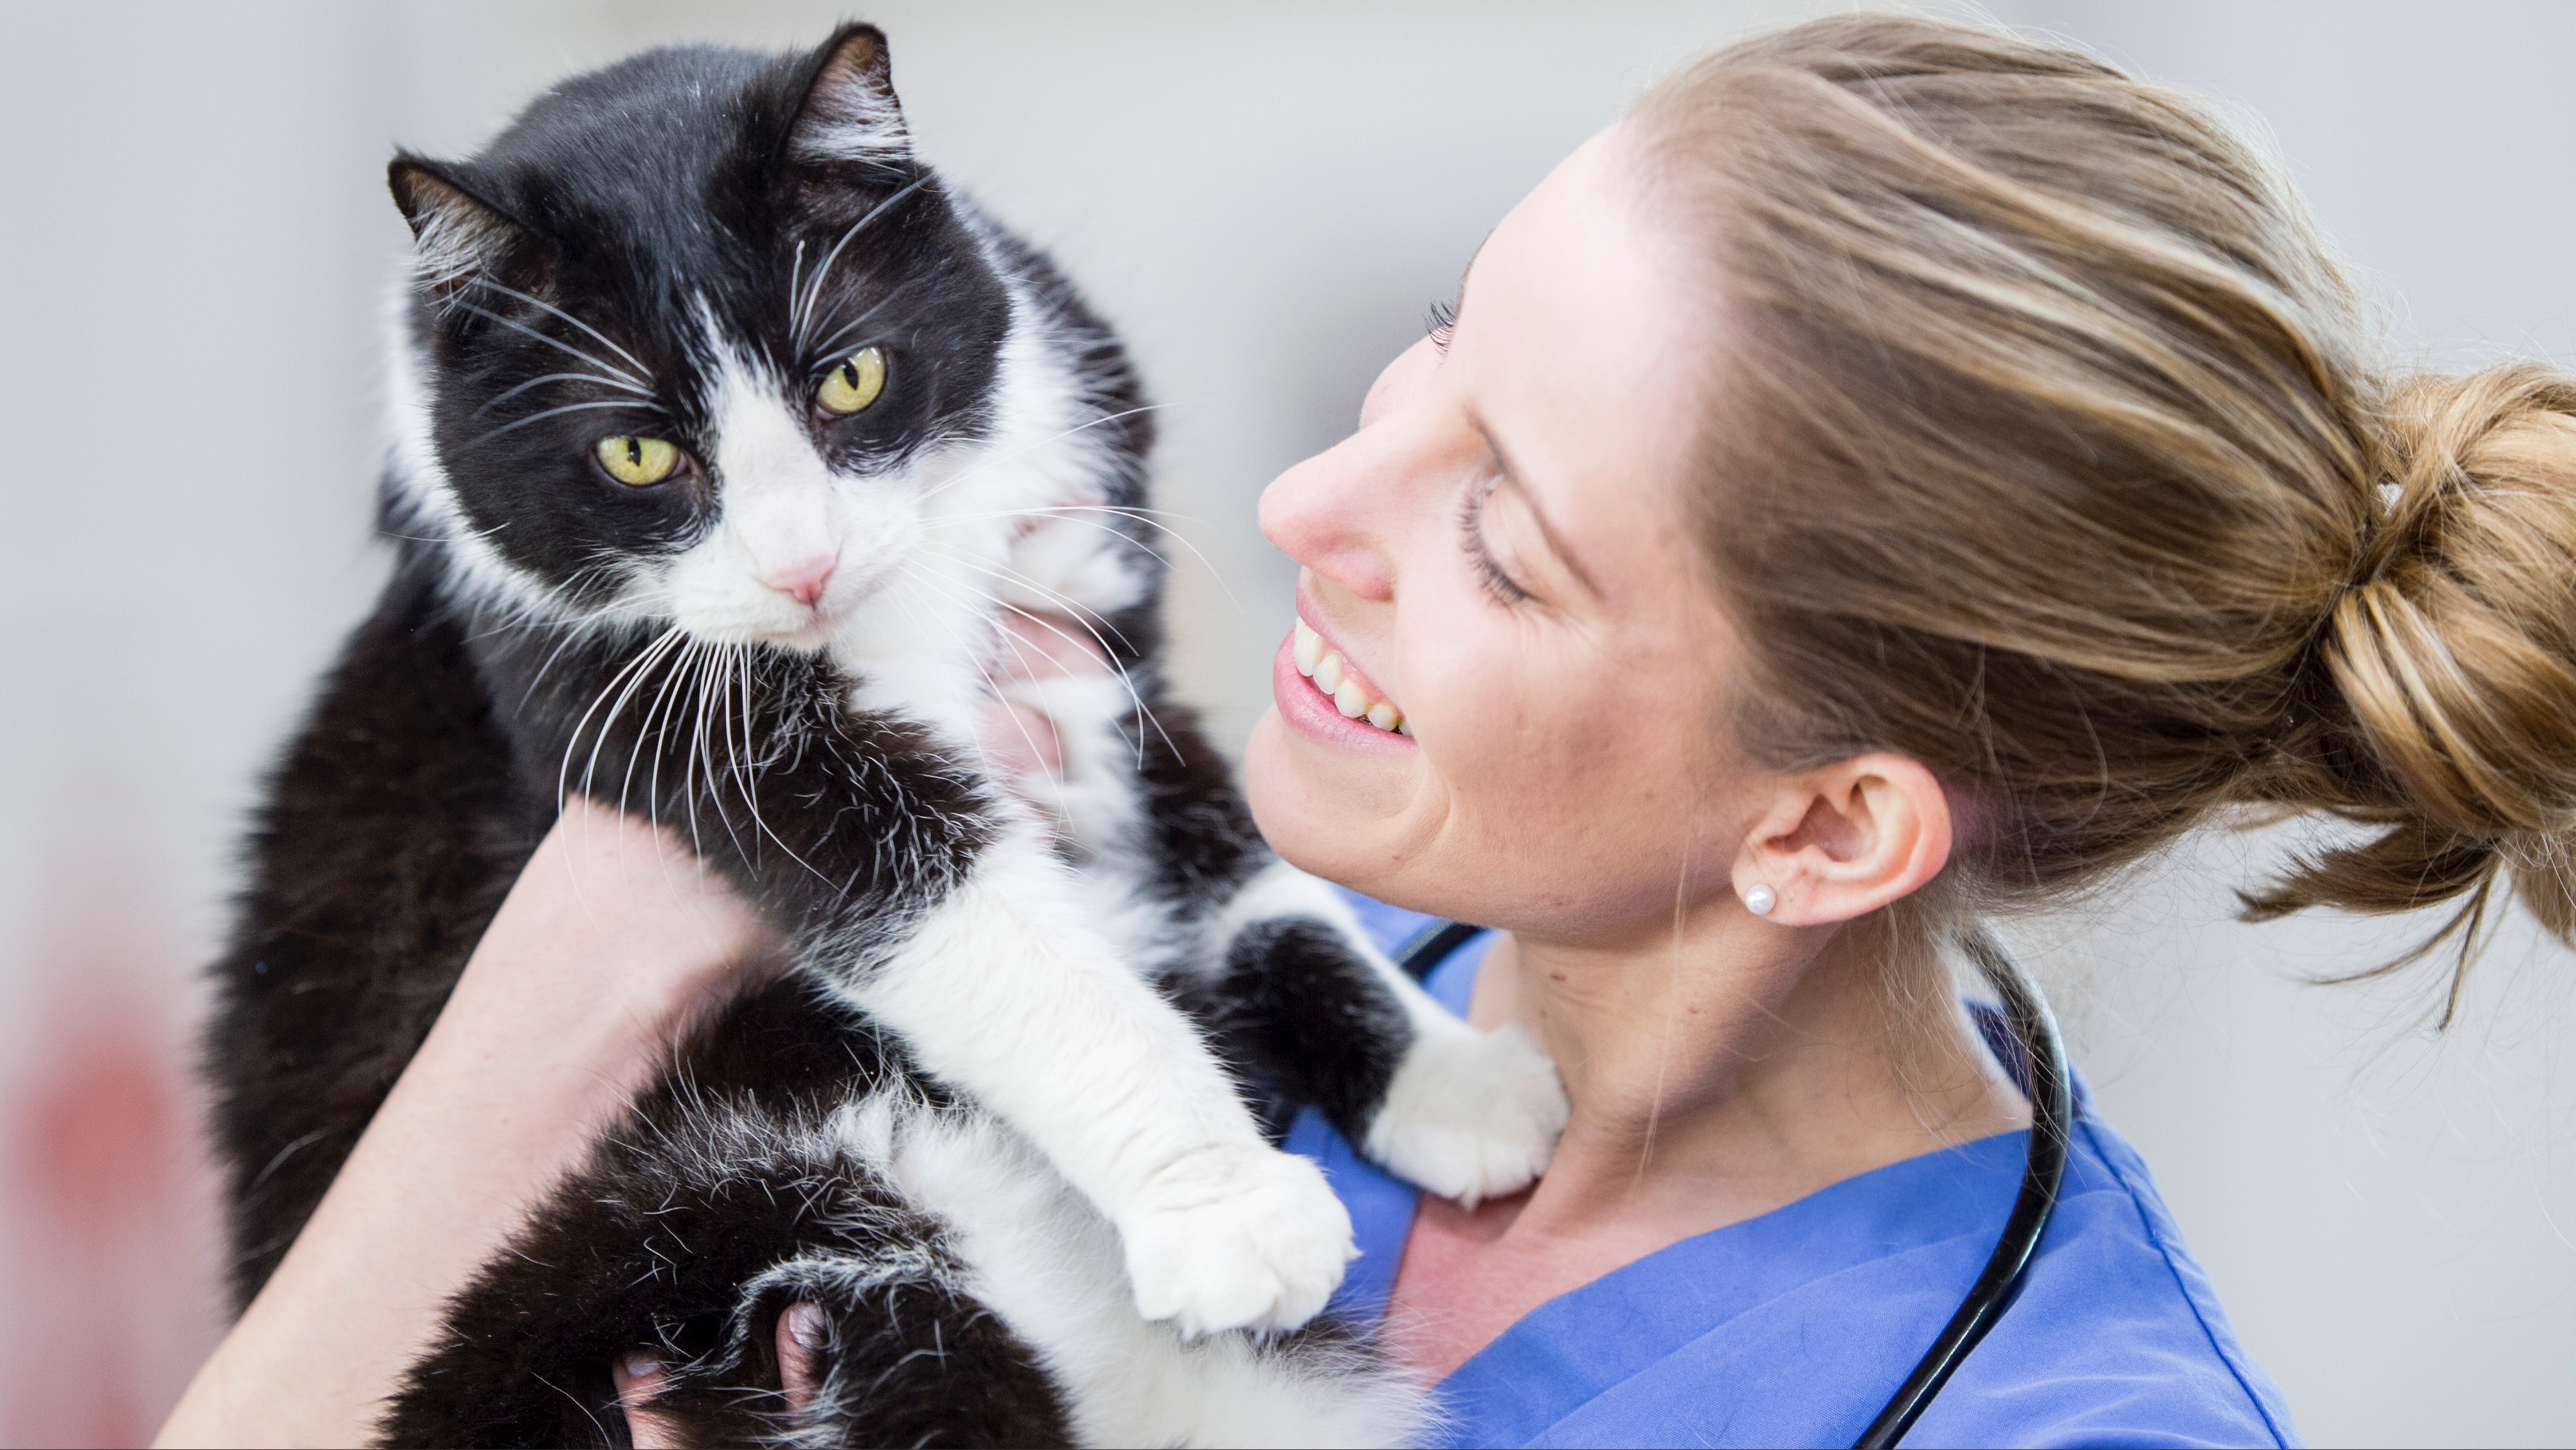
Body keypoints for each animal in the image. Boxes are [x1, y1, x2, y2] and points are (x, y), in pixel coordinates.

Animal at [206, 22, 1566, 1450]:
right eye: (636, 453)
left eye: (849, 376)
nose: (804, 566)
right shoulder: (647, 700)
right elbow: (994, 940)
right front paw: (1227, 1208)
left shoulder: (1097, 639)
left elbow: (1257, 879)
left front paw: (1450, 1080)